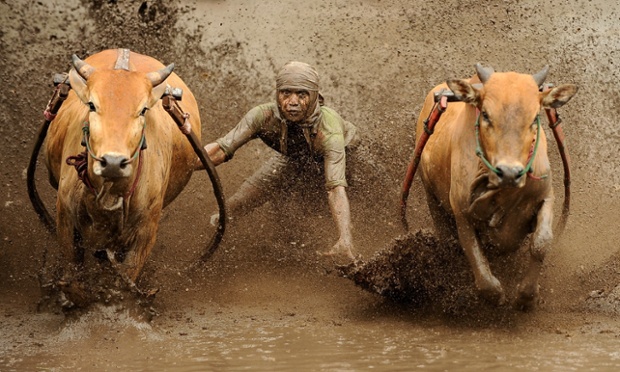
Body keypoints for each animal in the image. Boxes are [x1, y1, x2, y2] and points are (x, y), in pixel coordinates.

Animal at [44, 48, 200, 306]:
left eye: (143, 109)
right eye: (92, 104)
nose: (113, 162)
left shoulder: (146, 230)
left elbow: (124, 279)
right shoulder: (65, 216)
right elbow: (73, 268)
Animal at [414, 63, 580, 308]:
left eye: (534, 118)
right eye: (485, 114)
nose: (509, 172)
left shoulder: (546, 195)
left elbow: (541, 243)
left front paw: (526, 295)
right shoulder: (461, 212)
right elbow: (473, 253)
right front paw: (496, 295)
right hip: (432, 199)